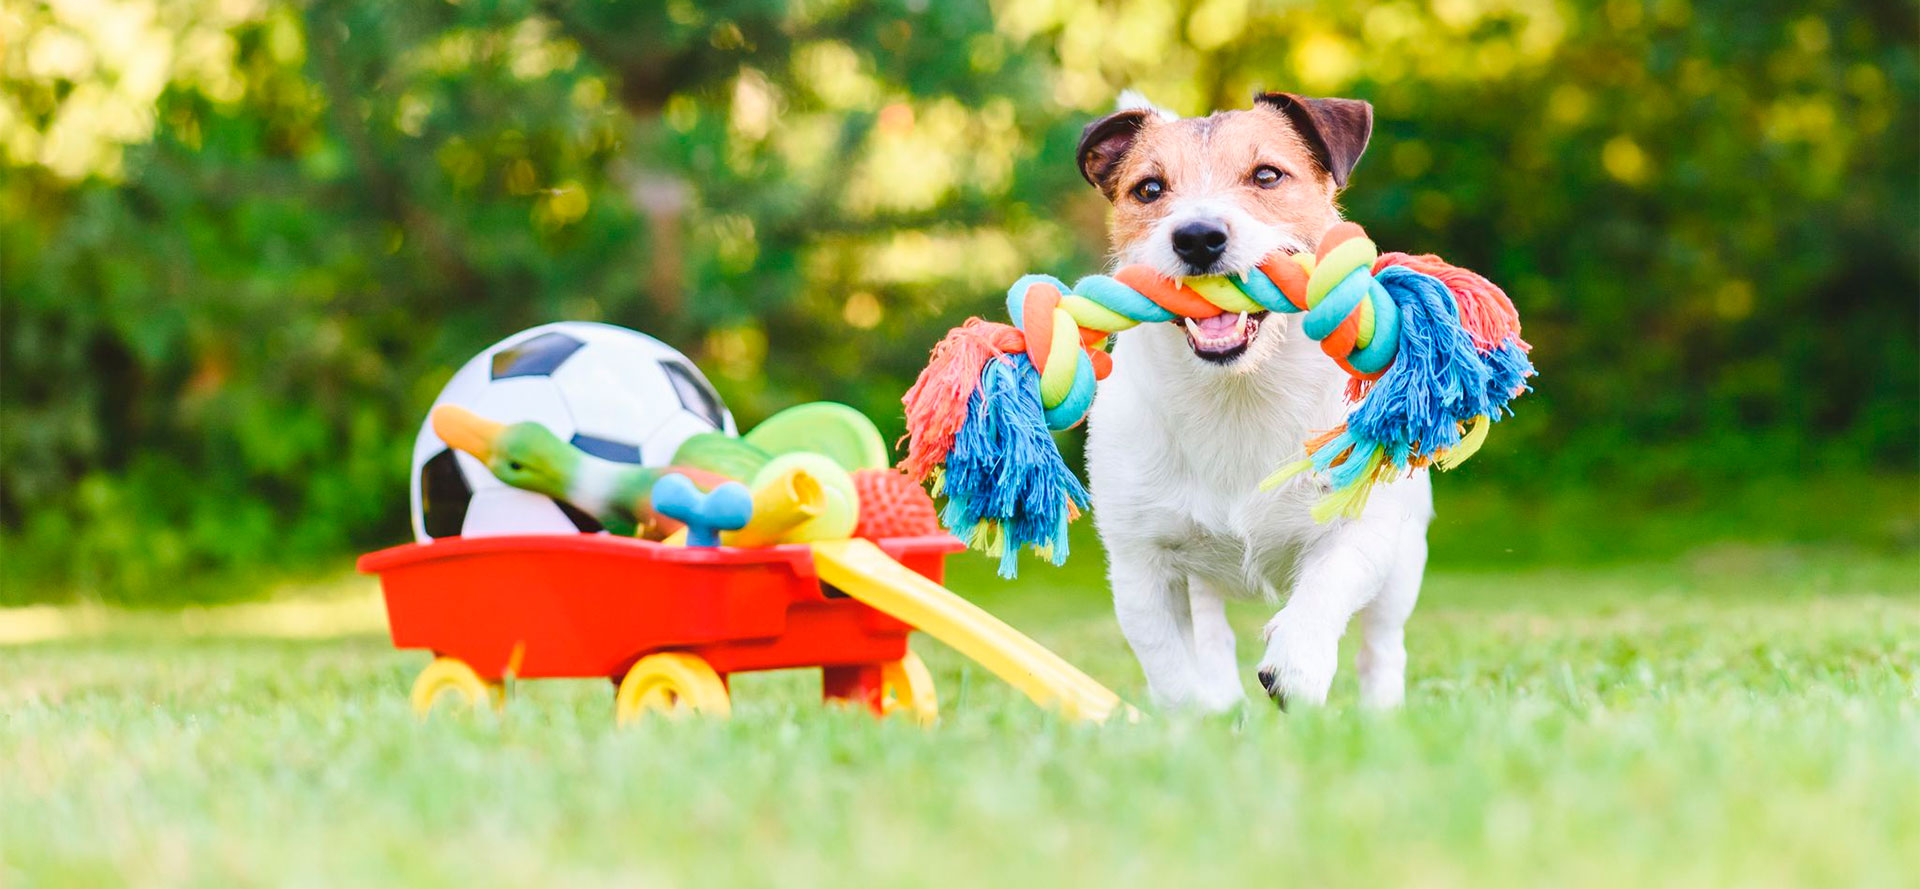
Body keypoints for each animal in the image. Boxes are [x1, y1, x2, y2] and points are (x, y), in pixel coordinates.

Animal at [1082, 92, 1428, 718]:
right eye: (1149, 188)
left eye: (1267, 175)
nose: (1197, 236)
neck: (1239, 393)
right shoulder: (1141, 565)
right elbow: (1172, 669)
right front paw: (1194, 725)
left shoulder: (1362, 528)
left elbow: (1327, 584)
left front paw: (1297, 663)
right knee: (1213, 638)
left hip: (1404, 564)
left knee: (1382, 646)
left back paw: (1380, 711)